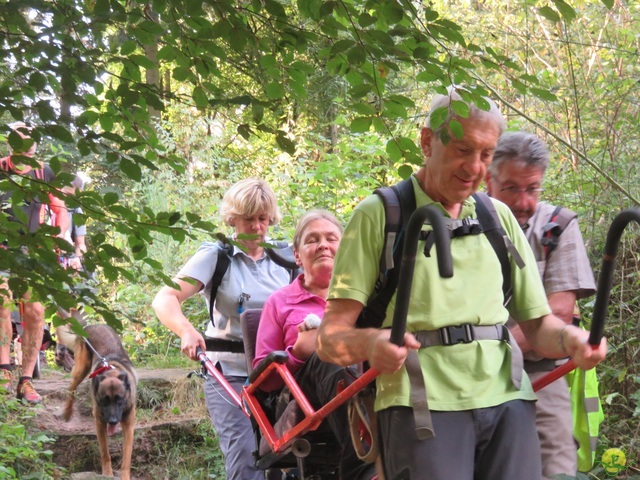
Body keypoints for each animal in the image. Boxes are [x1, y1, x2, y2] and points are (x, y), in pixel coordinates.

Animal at [62, 324, 138, 478]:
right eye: (105, 400)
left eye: (120, 400)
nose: (113, 421)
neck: (112, 372)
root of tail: (91, 325)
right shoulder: (100, 422)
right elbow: (105, 452)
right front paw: (107, 474)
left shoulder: (128, 425)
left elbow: (126, 458)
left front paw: (125, 476)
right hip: (81, 367)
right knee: (71, 387)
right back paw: (67, 412)